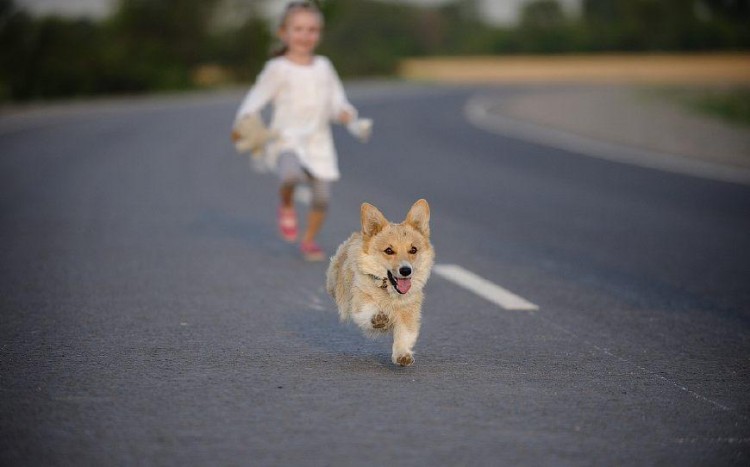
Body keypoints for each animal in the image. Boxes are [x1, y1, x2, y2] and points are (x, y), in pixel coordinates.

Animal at [328, 199, 434, 368]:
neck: (389, 292)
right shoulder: (359, 302)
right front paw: (379, 318)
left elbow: (405, 334)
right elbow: (368, 309)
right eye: (389, 250)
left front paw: (402, 355)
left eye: (413, 250)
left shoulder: (409, 313)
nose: (406, 270)